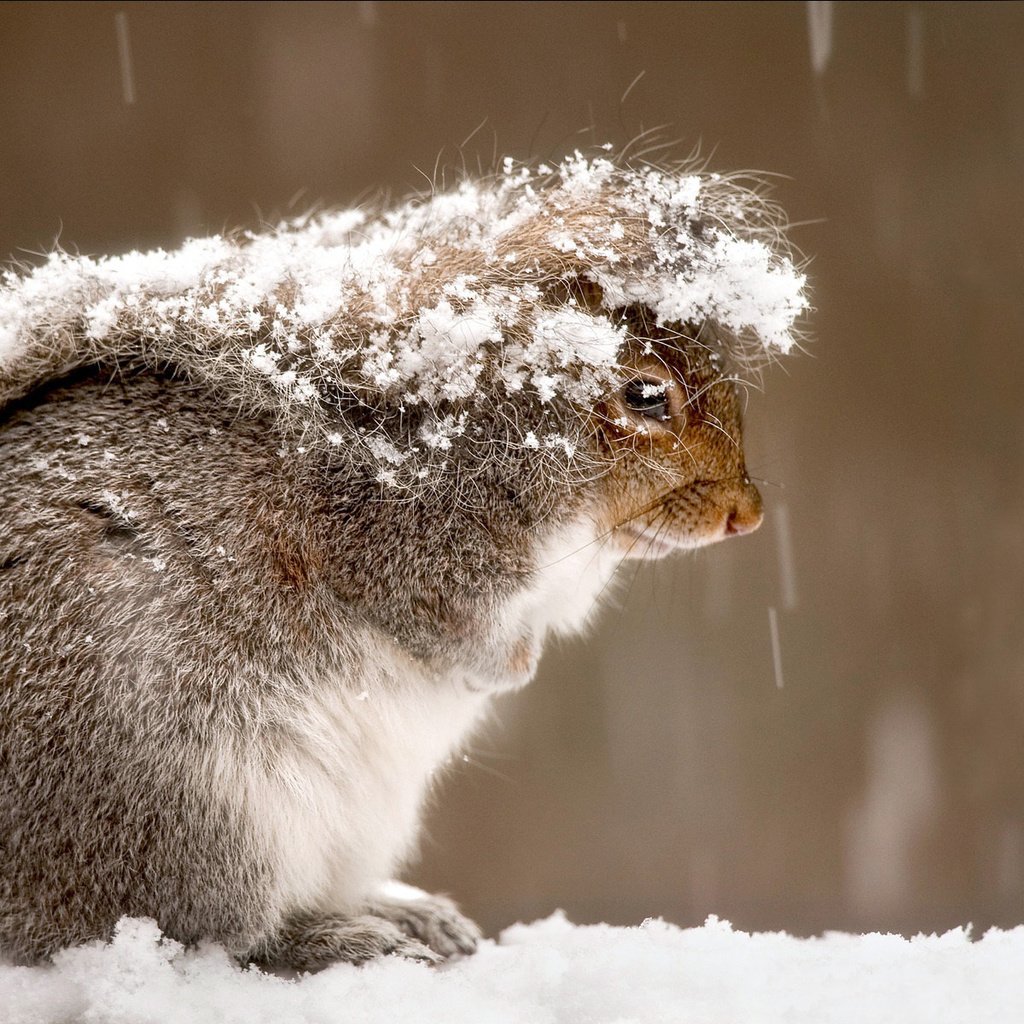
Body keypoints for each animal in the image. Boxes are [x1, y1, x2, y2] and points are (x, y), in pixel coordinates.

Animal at [0, 151, 806, 966]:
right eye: (644, 395)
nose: (746, 514)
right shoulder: (391, 545)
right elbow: (440, 625)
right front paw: (509, 667)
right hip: (192, 808)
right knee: (208, 936)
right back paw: (338, 939)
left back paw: (402, 912)